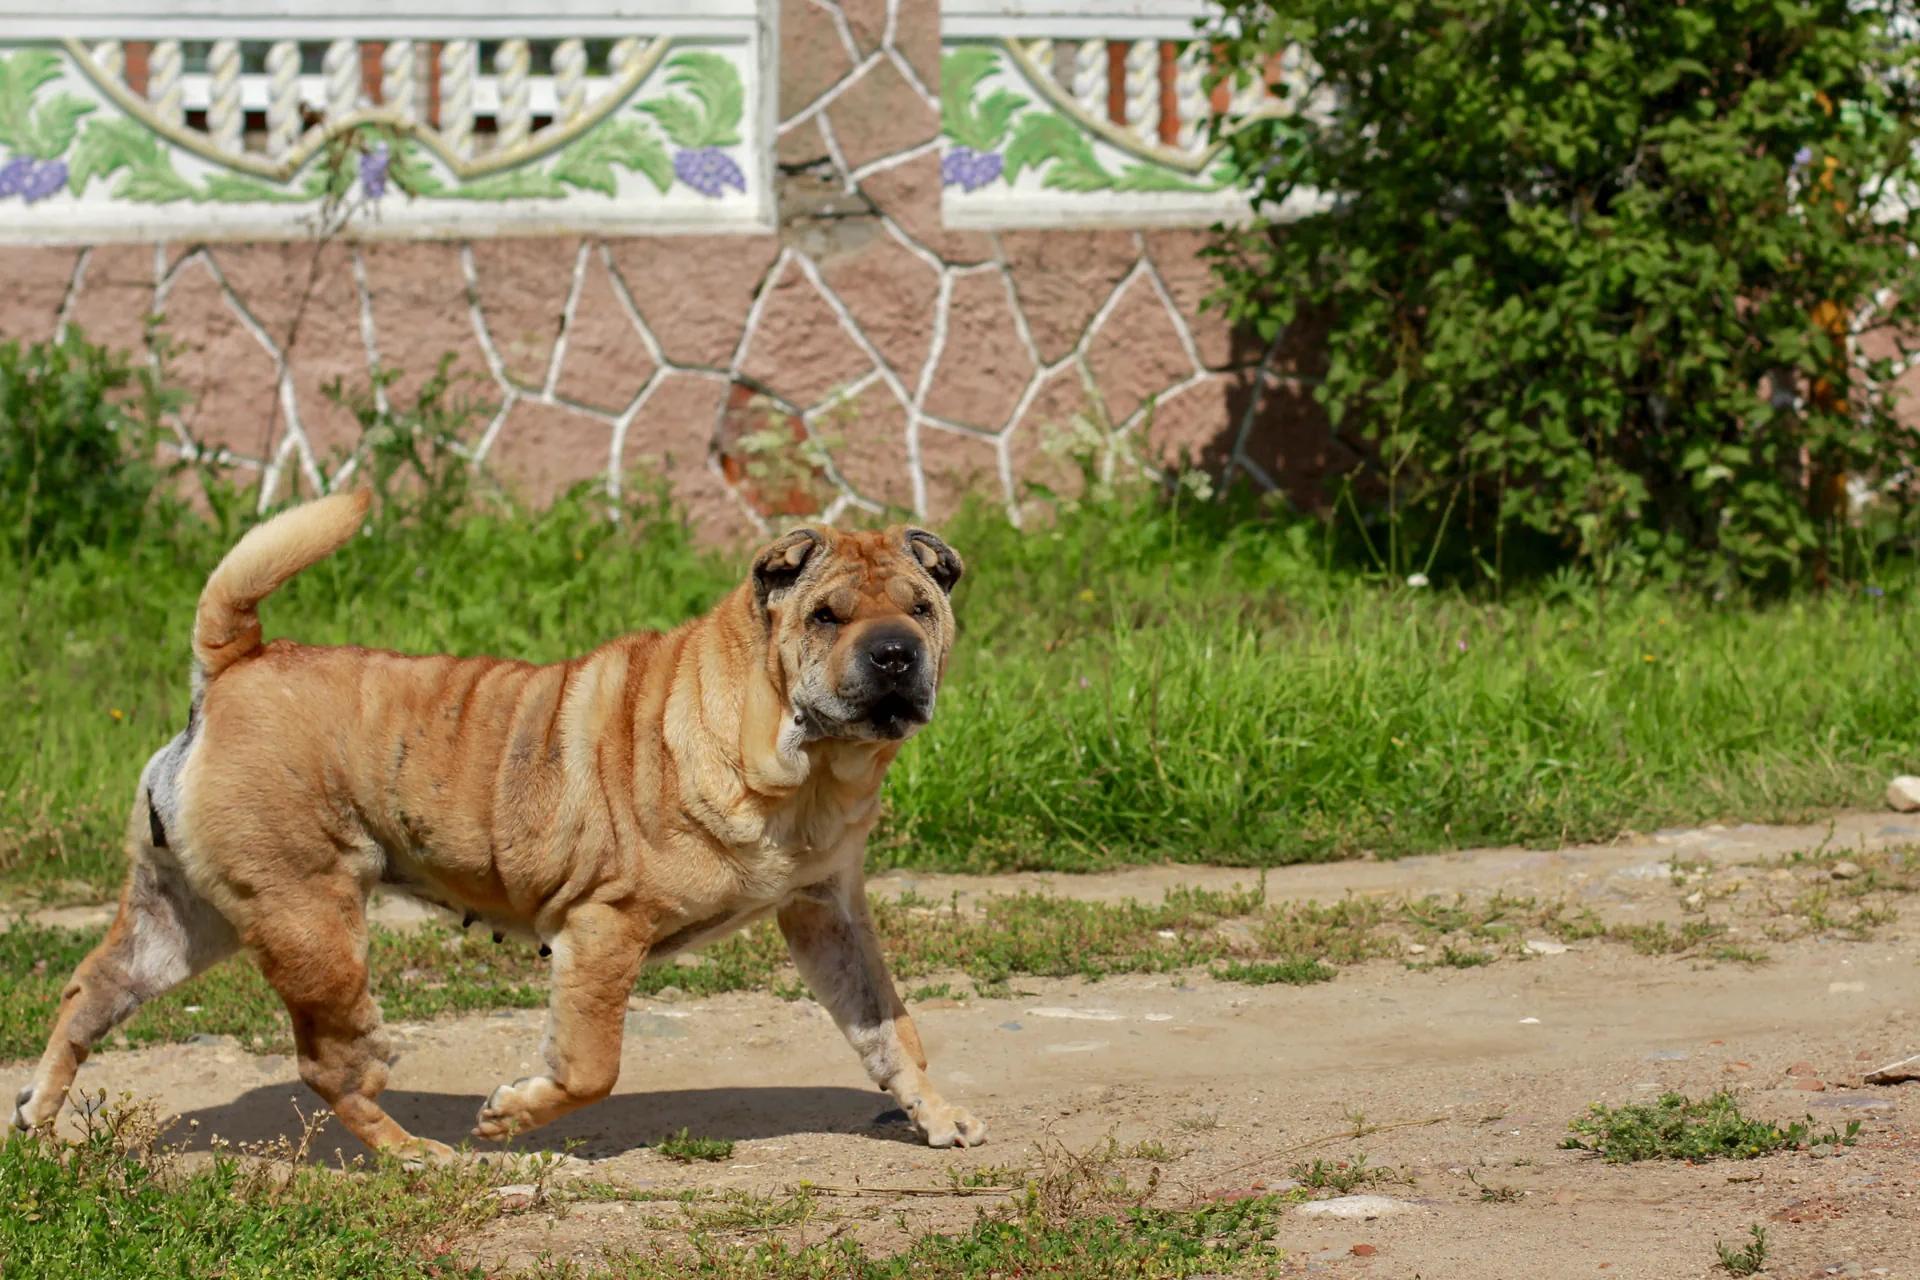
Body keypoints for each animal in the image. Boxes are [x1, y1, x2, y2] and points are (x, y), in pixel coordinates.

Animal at [18, 491, 990, 1159]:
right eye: (826, 615)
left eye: (922, 607)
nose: (895, 654)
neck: (806, 765)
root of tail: (235, 665)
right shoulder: (605, 929)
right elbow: (592, 1065)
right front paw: (509, 1114)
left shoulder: (827, 912)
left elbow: (889, 1027)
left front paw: (939, 1117)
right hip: (311, 922)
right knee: (327, 1063)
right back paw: (418, 1155)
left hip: (185, 920)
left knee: (89, 991)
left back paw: (38, 1120)